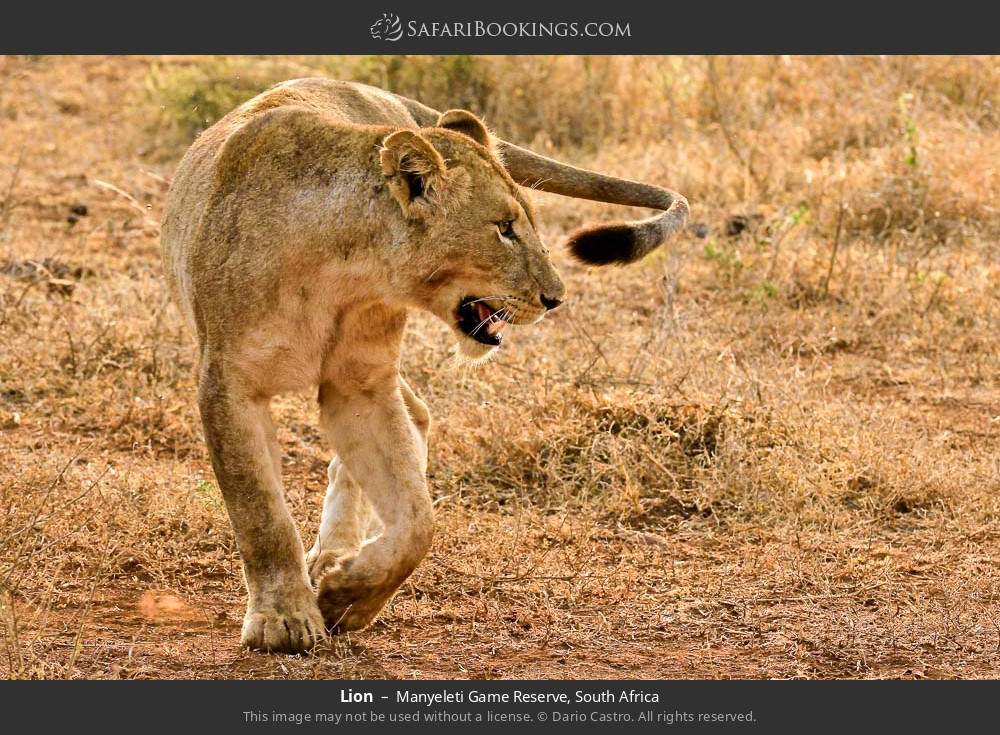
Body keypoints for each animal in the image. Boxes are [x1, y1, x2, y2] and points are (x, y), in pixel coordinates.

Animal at [162, 77, 688, 652]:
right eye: (504, 228)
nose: (555, 298)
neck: (343, 268)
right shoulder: (228, 383)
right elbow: (261, 513)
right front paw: (284, 619)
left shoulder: (361, 385)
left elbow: (418, 522)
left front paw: (346, 597)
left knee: (412, 418)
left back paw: (334, 553)